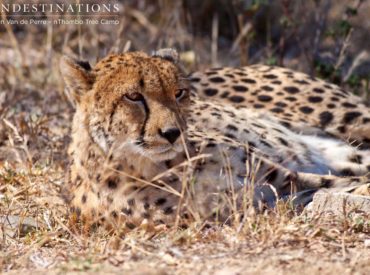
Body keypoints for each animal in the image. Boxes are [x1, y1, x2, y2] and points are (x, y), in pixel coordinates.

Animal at [59, 49, 368, 231]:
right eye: (133, 96)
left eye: (179, 93)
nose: (172, 133)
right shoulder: (263, 202)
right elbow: (332, 188)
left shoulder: (280, 178)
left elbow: (342, 184)